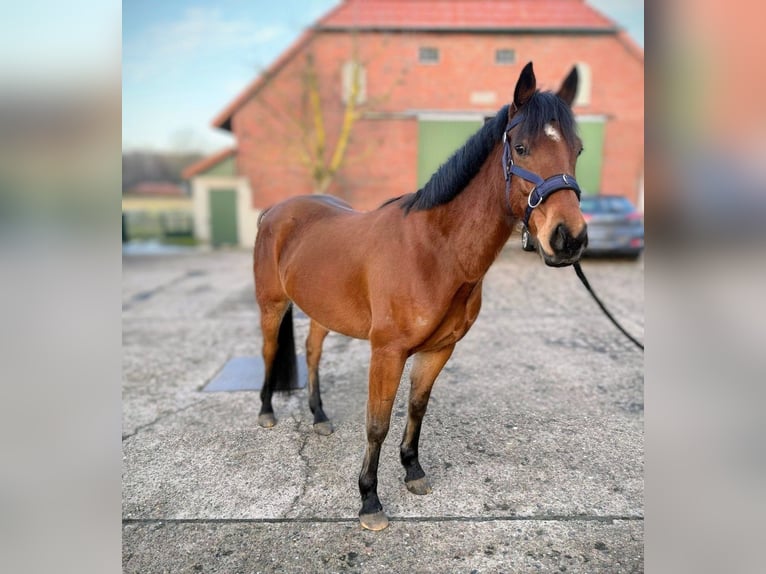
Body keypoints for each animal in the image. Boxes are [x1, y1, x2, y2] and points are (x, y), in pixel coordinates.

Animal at [253, 62, 588, 531]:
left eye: (578, 150)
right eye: (520, 148)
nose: (568, 238)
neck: (434, 251)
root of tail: (275, 211)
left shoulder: (438, 350)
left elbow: (416, 409)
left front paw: (412, 470)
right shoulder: (387, 352)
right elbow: (377, 423)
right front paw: (369, 500)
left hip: (321, 311)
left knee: (313, 351)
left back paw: (319, 417)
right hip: (271, 305)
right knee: (269, 351)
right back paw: (267, 411)